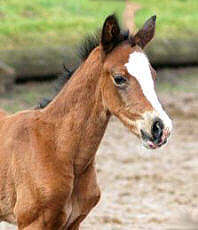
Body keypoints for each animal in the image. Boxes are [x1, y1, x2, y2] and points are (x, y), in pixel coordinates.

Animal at [0, 14, 172, 228]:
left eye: (153, 75)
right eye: (119, 78)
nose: (160, 128)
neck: (58, 148)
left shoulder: (74, 222)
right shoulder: (32, 222)